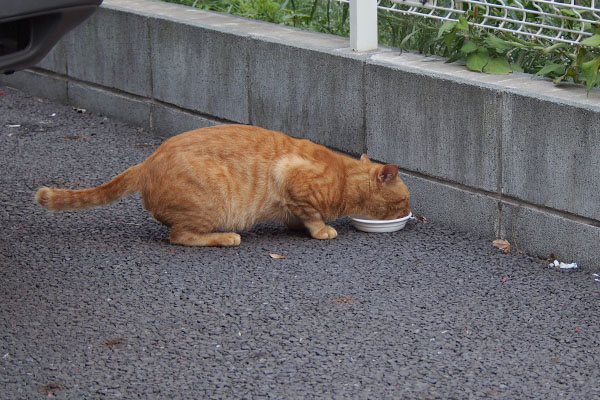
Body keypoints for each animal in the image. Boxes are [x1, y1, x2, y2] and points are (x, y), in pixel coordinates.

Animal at [36, 123, 412, 245]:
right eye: (406, 200)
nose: (411, 212)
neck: (344, 177)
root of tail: (147, 161)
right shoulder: (291, 176)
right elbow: (312, 215)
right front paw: (321, 230)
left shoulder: (291, 198)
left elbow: (296, 215)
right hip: (210, 204)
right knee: (181, 236)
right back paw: (225, 237)